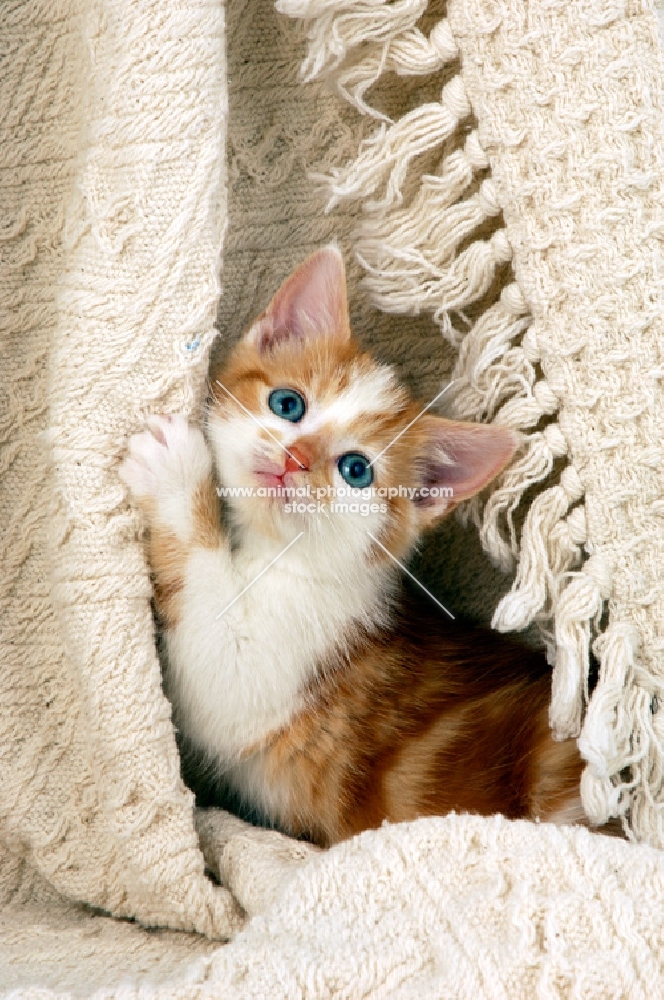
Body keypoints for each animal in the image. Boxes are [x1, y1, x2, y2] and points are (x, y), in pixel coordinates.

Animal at [119, 246, 588, 848]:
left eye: (356, 470)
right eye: (287, 404)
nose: (294, 459)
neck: (270, 552)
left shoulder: (277, 666)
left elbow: (216, 661)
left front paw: (175, 471)